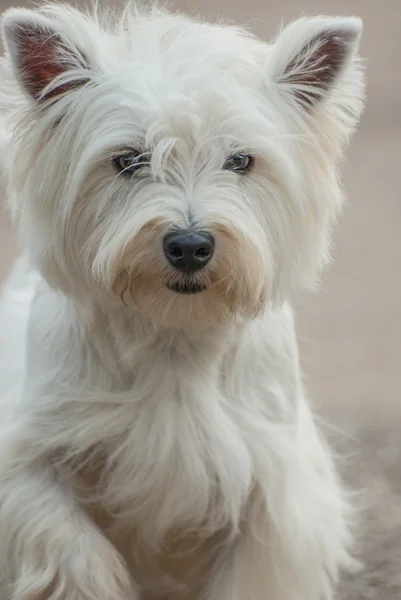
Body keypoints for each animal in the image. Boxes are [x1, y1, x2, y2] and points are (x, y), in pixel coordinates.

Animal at [0, 2, 362, 596]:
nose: (190, 246)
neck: (174, 334)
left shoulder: (270, 493)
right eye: (129, 160)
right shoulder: (33, 460)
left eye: (240, 161)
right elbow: (72, 548)